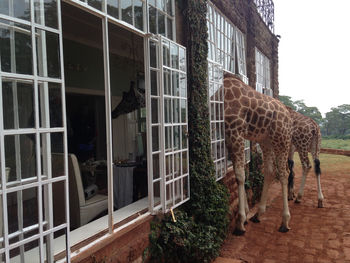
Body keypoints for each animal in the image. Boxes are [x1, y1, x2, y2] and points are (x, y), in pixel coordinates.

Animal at [224, 72, 292, 235]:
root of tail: (289, 117)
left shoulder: (235, 132)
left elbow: (240, 175)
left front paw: (240, 222)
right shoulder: (229, 136)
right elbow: (239, 173)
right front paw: (246, 216)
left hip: (282, 139)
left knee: (284, 173)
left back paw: (285, 222)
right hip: (266, 141)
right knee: (269, 171)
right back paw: (258, 214)